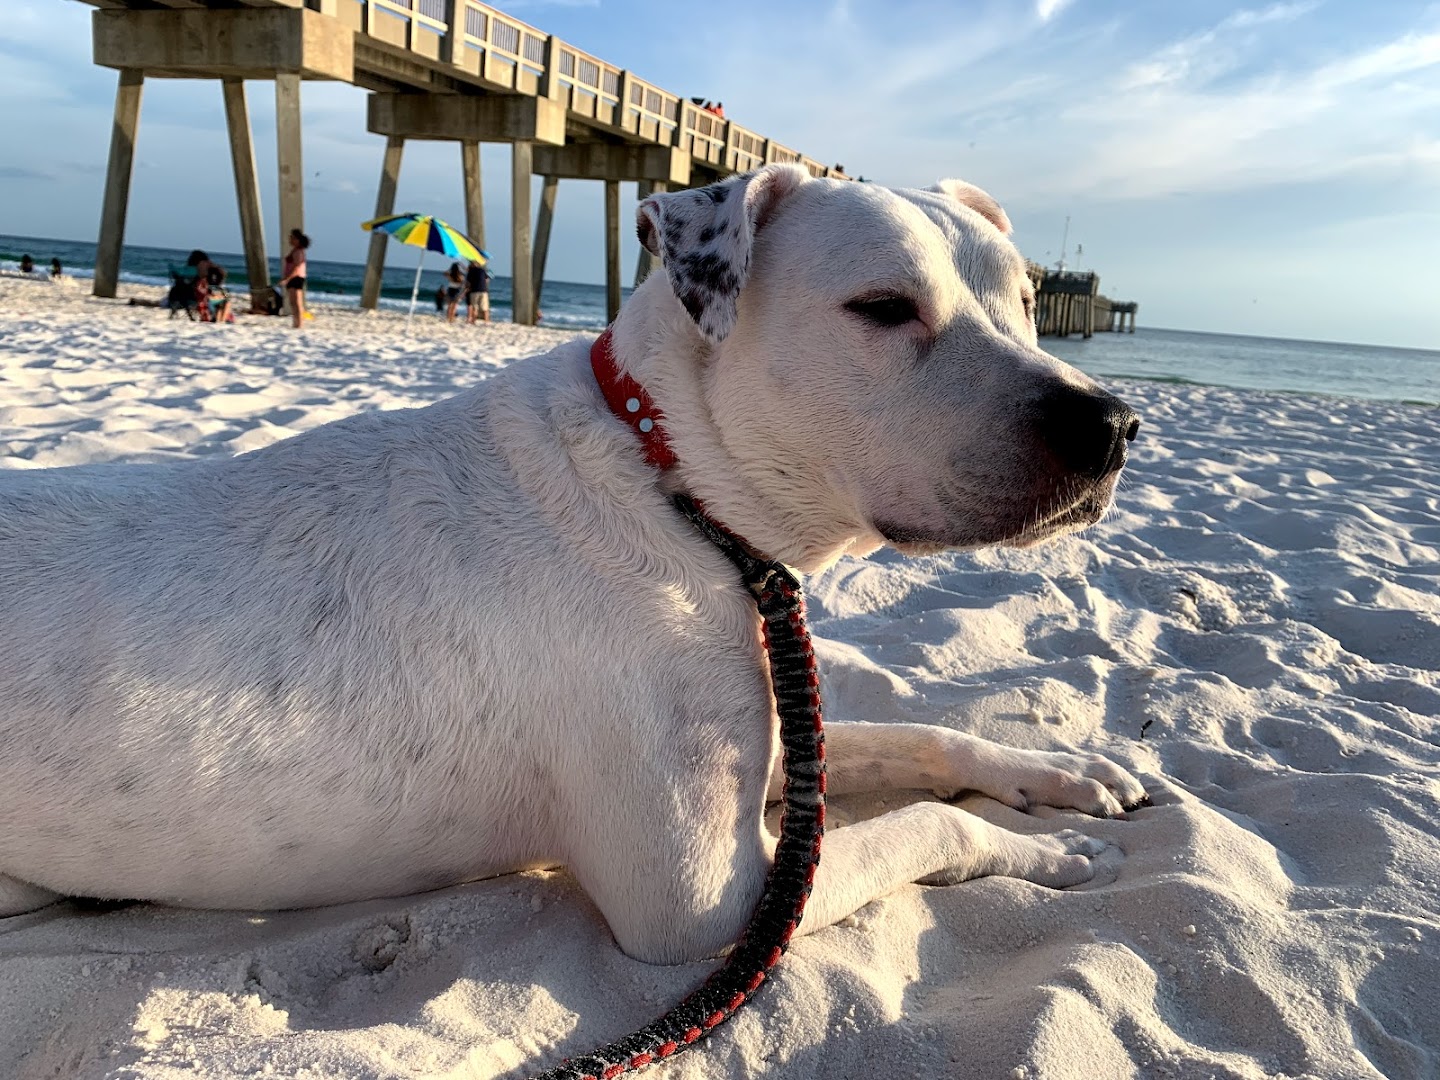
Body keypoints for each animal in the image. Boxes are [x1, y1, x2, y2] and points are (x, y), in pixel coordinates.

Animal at [2, 167, 1146, 961]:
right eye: (881, 307)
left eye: (1029, 304)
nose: (1110, 424)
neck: (673, 484)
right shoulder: (711, 905)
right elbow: (923, 827)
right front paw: (1037, 850)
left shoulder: (775, 742)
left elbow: (923, 737)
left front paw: (1059, 774)